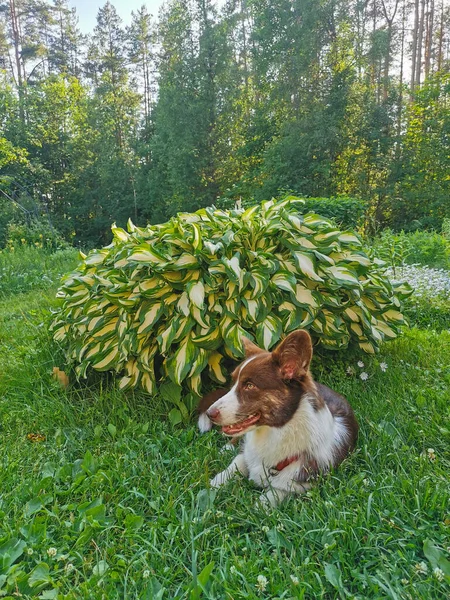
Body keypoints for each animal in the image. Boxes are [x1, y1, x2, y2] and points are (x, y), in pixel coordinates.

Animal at [199, 330, 356, 508]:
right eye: (234, 383)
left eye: (249, 386)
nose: (209, 413)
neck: (275, 432)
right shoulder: (246, 455)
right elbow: (233, 466)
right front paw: (212, 486)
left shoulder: (298, 486)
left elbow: (269, 499)